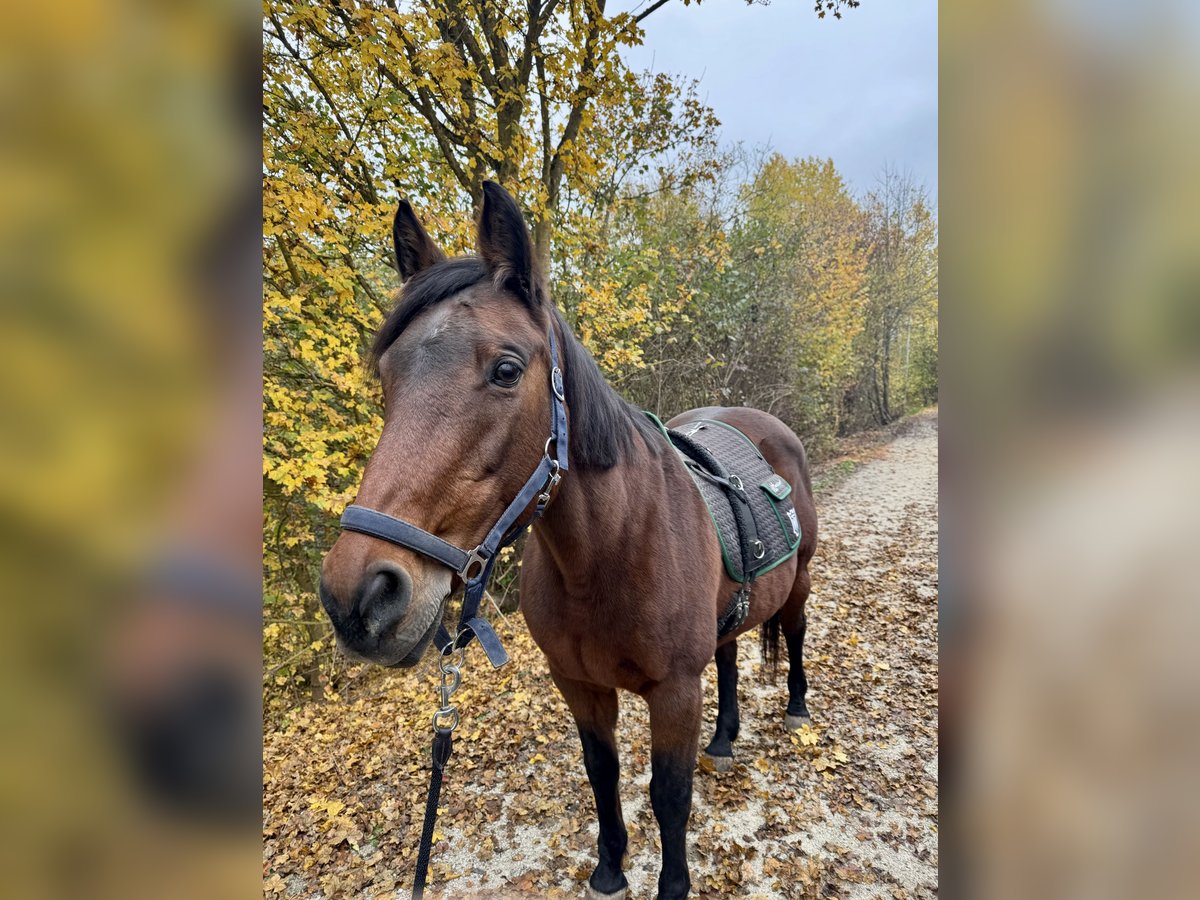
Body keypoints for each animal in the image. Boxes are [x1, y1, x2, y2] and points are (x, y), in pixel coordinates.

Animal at [319, 183, 820, 900]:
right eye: (386, 376)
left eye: (506, 370)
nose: (358, 598)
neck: (607, 554)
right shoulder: (578, 684)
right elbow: (601, 773)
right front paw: (610, 868)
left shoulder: (675, 692)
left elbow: (670, 795)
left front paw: (671, 885)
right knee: (728, 655)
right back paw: (724, 740)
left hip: (800, 581)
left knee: (797, 633)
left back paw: (798, 708)